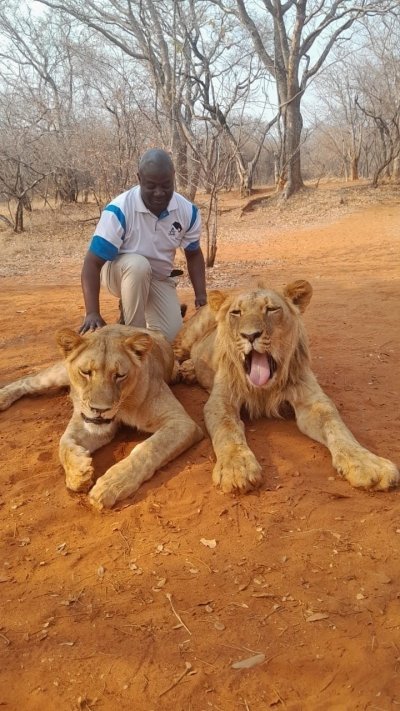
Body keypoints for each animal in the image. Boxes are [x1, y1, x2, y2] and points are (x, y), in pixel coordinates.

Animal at [0, 325, 203, 509]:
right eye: (85, 372)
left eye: (120, 375)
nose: (99, 409)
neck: (123, 406)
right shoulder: (85, 422)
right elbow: (63, 443)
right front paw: (78, 473)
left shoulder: (181, 422)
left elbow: (148, 449)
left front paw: (111, 485)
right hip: (57, 374)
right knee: (27, 380)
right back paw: (3, 397)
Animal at [174, 280, 399, 493]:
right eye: (236, 312)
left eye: (271, 309)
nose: (250, 335)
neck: (264, 388)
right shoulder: (220, 401)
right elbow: (227, 430)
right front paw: (237, 469)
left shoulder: (312, 401)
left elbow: (336, 426)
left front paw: (367, 463)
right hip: (188, 336)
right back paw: (182, 371)